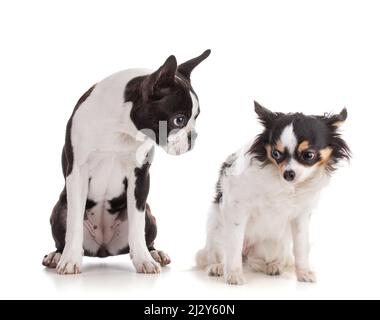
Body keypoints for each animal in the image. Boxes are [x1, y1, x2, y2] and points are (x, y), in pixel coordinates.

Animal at [43, 50, 214, 276]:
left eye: (196, 117)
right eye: (179, 120)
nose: (192, 137)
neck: (121, 128)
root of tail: (103, 249)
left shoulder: (139, 177)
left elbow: (136, 225)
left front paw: (143, 259)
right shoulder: (77, 172)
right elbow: (74, 224)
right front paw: (69, 260)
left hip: (150, 215)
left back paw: (154, 253)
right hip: (59, 210)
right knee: (63, 234)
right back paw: (57, 255)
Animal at [197, 102, 348, 284]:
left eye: (308, 155)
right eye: (276, 154)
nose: (288, 174)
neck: (285, 186)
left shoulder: (301, 217)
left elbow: (301, 247)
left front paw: (303, 273)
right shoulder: (236, 208)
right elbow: (233, 244)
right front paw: (233, 274)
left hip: (273, 243)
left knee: (265, 259)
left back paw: (274, 266)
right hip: (217, 229)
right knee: (220, 252)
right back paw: (218, 266)